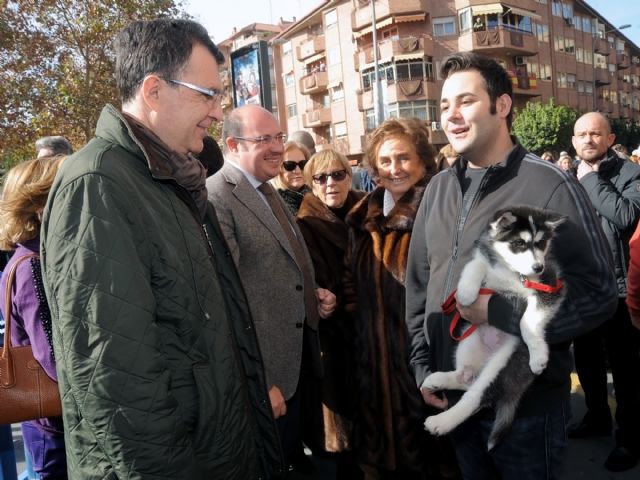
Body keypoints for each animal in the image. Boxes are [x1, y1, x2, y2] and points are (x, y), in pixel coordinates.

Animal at [424, 205, 564, 450]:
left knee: (475, 397)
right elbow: (475, 265)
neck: (513, 272)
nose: (538, 267)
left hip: (503, 364)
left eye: (541, 243)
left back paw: (441, 421)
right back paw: (437, 380)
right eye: (519, 243)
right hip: (467, 341)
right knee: (465, 379)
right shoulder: (486, 260)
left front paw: (538, 355)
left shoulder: (550, 286)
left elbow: (527, 321)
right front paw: (466, 293)